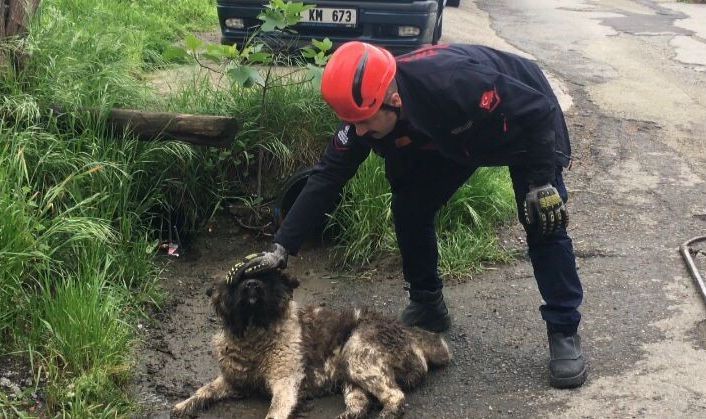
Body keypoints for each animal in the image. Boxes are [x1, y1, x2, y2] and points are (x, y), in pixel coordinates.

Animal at [170, 268, 452, 418]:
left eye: (266, 277)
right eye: (238, 280)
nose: (252, 284)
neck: (255, 333)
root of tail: (411, 334)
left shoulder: (285, 384)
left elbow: (274, 411)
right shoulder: (233, 381)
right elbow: (203, 390)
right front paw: (184, 405)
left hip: (357, 355)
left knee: (395, 397)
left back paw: (388, 413)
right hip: (350, 375)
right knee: (361, 406)